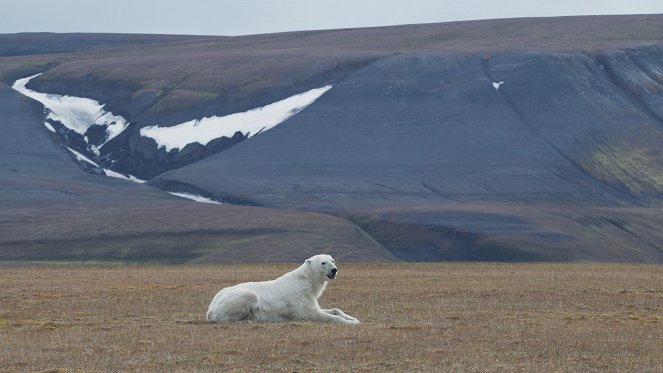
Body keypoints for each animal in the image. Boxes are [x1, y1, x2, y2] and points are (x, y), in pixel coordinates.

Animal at [208, 253, 360, 322]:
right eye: (323, 263)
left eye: (332, 260)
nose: (334, 270)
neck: (306, 281)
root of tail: (210, 310)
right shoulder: (299, 296)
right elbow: (311, 313)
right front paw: (349, 323)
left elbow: (331, 309)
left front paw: (354, 319)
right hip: (236, 299)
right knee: (250, 297)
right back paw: (249, 319)